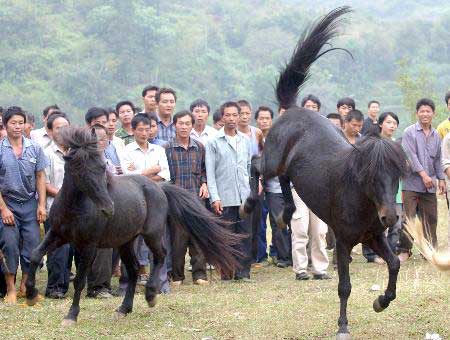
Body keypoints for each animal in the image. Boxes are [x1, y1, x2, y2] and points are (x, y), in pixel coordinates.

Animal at [25, 129, 241, 326]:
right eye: (81, 169)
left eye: (102, 166)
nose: (108, 208)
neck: (74, 208)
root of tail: (159, 187)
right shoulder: (57, 235)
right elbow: (35, 255)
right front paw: (30, 295)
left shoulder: (88, 245)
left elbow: (79, 280)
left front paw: (71, 316)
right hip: (125, 241)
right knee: (134, 269)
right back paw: (124, 308)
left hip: (151, 234)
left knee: (160, 256)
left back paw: (151, 295)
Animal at [243, 6, 412, 338]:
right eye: (372, 177)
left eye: (396, 175)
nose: (390, 217)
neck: (361, 199)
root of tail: (293, 108)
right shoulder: (344, 242)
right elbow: (344, 286)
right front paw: (343, 326)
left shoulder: (374, 236)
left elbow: (394, 265)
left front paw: (380, 302)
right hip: (273, 158)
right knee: (256, 165)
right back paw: (251, 204)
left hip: (289, 167)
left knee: (284, 180)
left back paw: (285, 214)